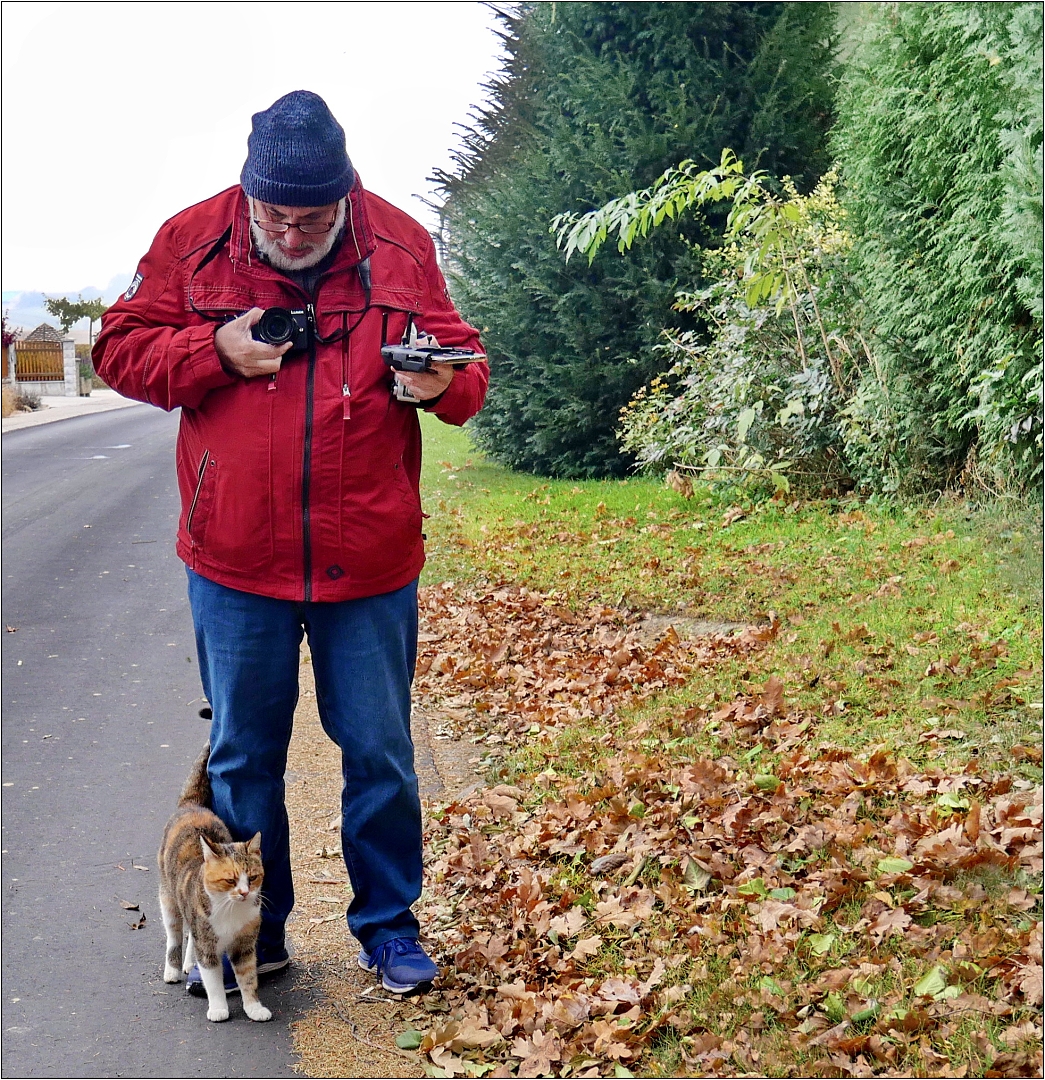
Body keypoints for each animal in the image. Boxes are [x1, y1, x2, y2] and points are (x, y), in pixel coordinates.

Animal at [156, 743, 270, 1019]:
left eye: (252, 877)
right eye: (230, 880)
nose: (244, 892)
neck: (231, 910)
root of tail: (191, 805)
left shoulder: (244, 945)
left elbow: (248, 979)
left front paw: (254, 1008)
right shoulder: (207, 946)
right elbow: (213, 981)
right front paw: (218, 1008)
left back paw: (188, 963)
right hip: (168, 899)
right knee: (175, 934)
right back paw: (173, 969)